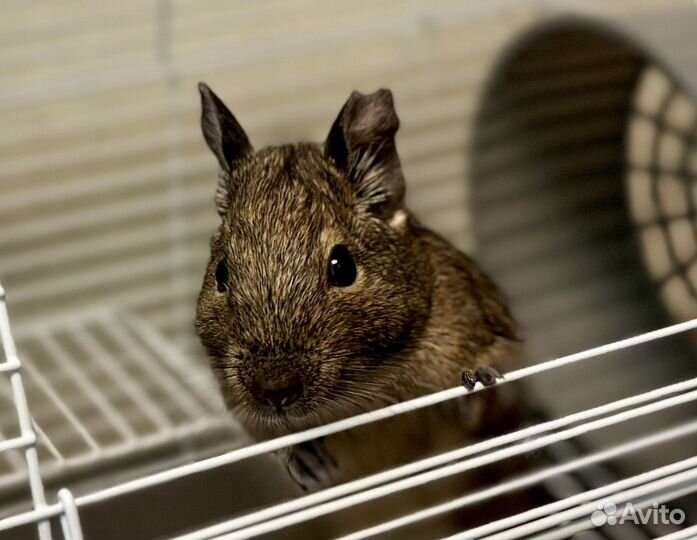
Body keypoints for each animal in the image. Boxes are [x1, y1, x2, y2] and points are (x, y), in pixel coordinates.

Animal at [194, 83, 526, 535]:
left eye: (343, 266)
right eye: (221, 273)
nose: (275, 393)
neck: (367, 390)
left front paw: (480, 380)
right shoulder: (242, 407)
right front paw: (307, 461)